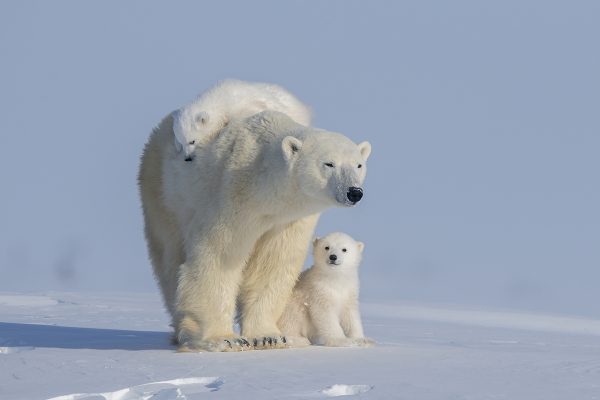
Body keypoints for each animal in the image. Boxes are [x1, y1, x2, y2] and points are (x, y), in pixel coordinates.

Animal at [138, 109, 370, 350]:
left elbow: (272, 263)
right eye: (329, 163)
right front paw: (222, 339)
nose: (354, 192)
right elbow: (219, 256)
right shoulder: (232, 196)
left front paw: (268, 336)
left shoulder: (287, 220)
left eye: (358, 165)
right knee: (169, 258)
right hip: (165, 193)